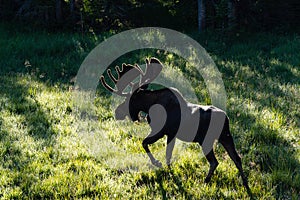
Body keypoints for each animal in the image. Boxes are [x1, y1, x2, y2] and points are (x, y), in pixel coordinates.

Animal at [99, 57, 250, 191]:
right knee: (237, 158)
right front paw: (169, 171)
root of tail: (227, 119)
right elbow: (168, 155)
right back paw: (245, 183)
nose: (117, 112)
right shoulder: (171, 134)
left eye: (129, 99)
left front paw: (158, 163)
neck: (149, 106)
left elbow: (145, 143)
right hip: (226, 137)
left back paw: (206, 181)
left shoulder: (161, 131)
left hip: (206, 140)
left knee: (215, 162)